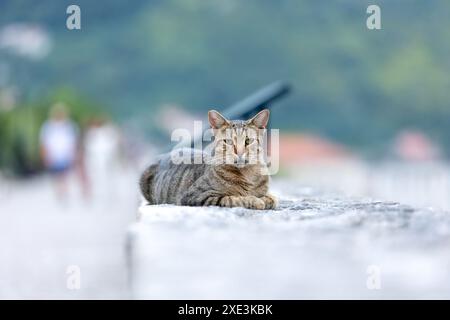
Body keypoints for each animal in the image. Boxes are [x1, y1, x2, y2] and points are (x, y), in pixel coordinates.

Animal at [139, 109, 276, 210]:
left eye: (248, 141)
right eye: (228, 141)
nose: (240, 152)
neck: (247, 175)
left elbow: (272, 198)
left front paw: (264, 198)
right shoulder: (197, 195)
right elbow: (232, 198)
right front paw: (255, 200)